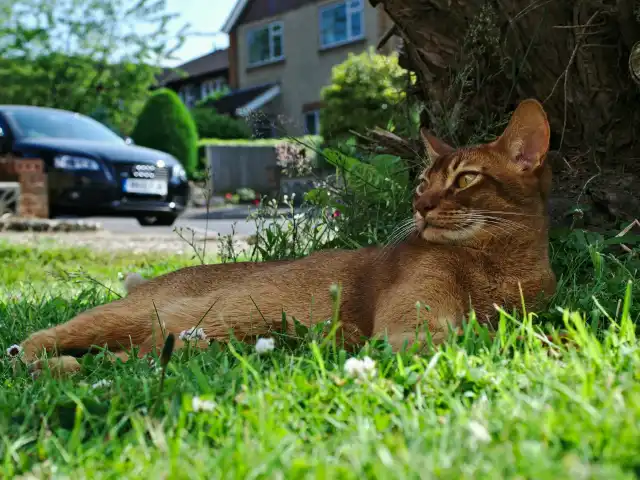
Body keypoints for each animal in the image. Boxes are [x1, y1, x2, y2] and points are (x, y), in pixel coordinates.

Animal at [12, 98, 556, 376]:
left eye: (465, 179)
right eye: (423, 183)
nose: (419, 207)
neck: (499, 261)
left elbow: (521, 327)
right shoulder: (410, 329)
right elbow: (498, 335)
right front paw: (559, 346)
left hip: (158, 340)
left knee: (133, 358)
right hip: (126, 314)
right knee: (36, 338)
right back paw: (39, 363)